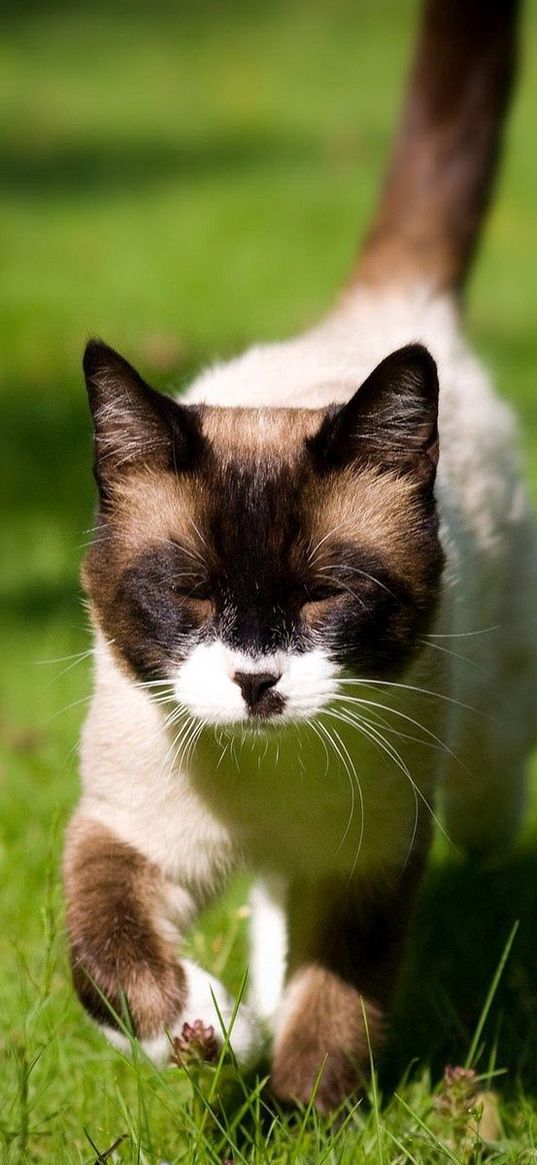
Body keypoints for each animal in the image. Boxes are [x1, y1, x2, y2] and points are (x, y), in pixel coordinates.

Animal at [63, 0, 535, 1113]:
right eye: (190, 595)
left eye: (326, 597)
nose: (255, 681)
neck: (263, 781)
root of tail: (386, 314)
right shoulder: (124, 835)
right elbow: (107, 958)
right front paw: (206, 1030)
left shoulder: (367, 864)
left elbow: (336, 1008)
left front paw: (293, 1112)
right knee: (265, 907)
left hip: (481, 758)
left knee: (487, 812)